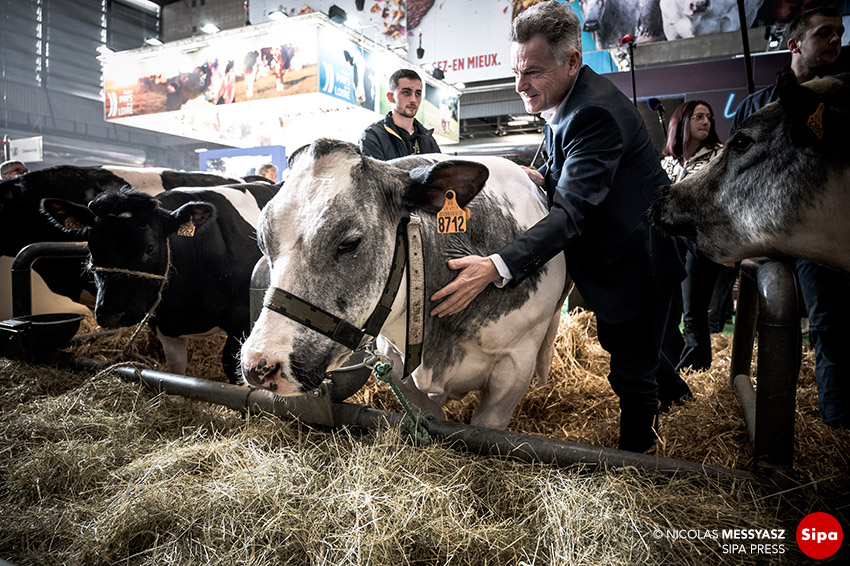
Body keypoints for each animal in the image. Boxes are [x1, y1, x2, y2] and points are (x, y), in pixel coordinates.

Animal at [41, 184, 276, 384]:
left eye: (149, 248)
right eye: (91, 247)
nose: (112, 314)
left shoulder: (241, 321)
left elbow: (234, 367)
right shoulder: (164, 326)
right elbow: (176, 369)